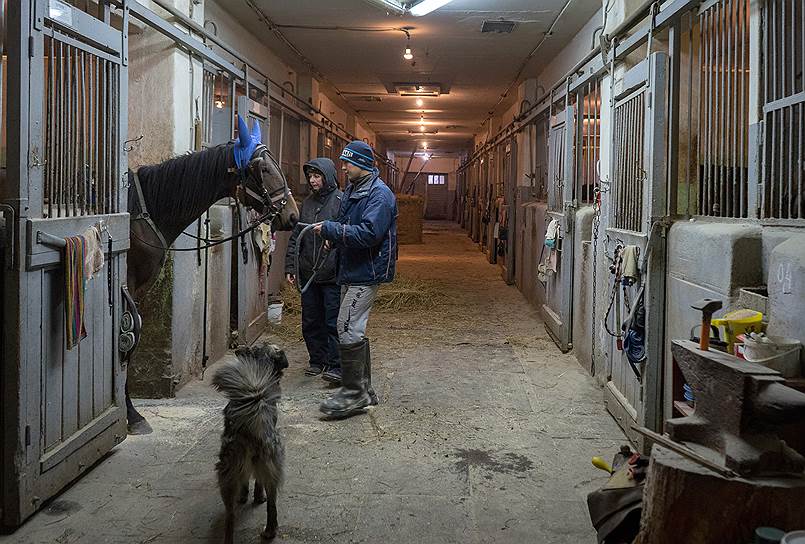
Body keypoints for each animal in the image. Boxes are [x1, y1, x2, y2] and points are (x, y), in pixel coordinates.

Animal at [124, 117, 300, 436]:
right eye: (264, 169)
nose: (292, 215)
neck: (143, 213)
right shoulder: (128, 286)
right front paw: (131, 415)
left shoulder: (139, 289)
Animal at [212, 344, 288, 544]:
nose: (239, 349)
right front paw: (256, 497)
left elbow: (247, 481)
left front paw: (246, 496)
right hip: (271, 468)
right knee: (271, 505)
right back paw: (269, 531)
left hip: (228, 473)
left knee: (230, 515)